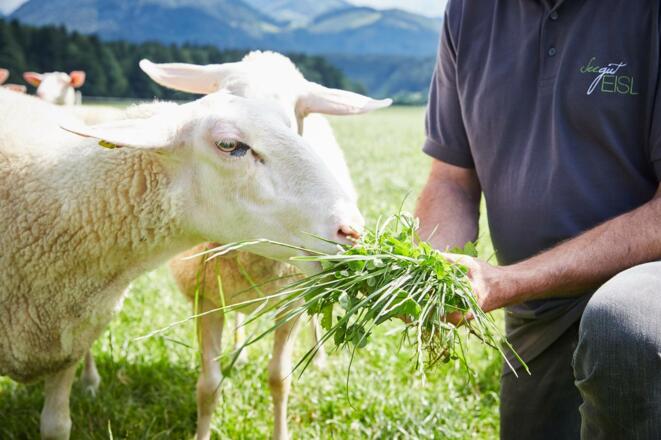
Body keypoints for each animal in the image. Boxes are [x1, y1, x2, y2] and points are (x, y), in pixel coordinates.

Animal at [138, 51, 391, 440]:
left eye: (286, 122)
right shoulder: (205, 298)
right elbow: (208, 385)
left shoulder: (292, 303)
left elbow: (279, 379)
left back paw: (318, 356)